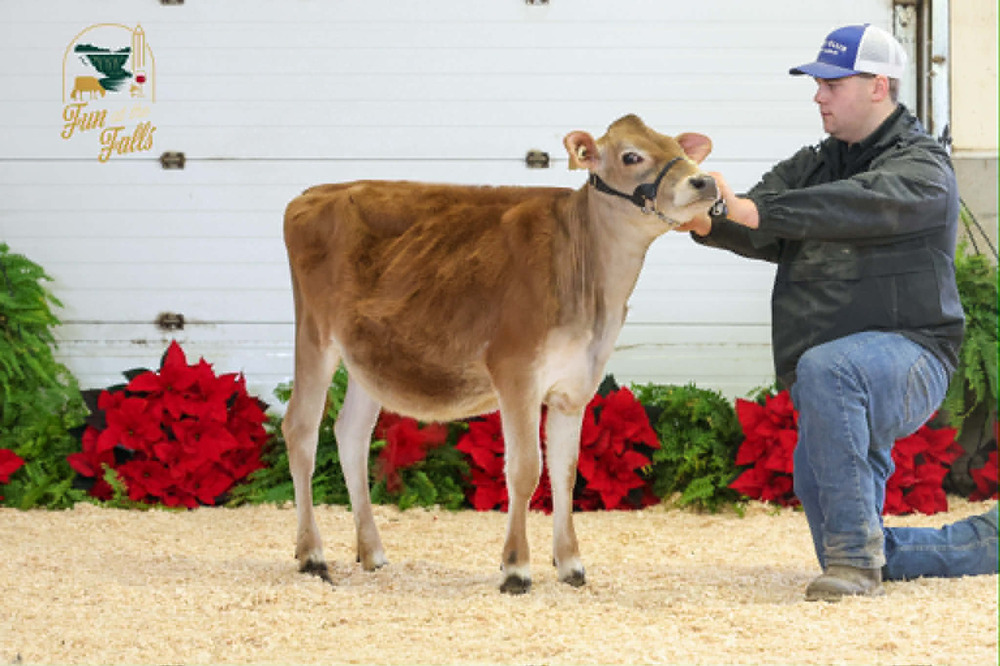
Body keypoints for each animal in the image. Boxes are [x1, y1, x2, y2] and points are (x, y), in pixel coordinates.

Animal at [281, 114, 718, 594]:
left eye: (677, 146)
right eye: (632, 155)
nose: (704, 181)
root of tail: (316, 192)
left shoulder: (575, 385)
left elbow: (565, 472)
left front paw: (571, 565)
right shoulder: (515, 373)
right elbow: (525, 469)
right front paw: (516, 568)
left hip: (369, 355)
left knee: (351, 436)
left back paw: (372, 553)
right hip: (315, 335)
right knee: (301, 430)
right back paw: (312, 556)